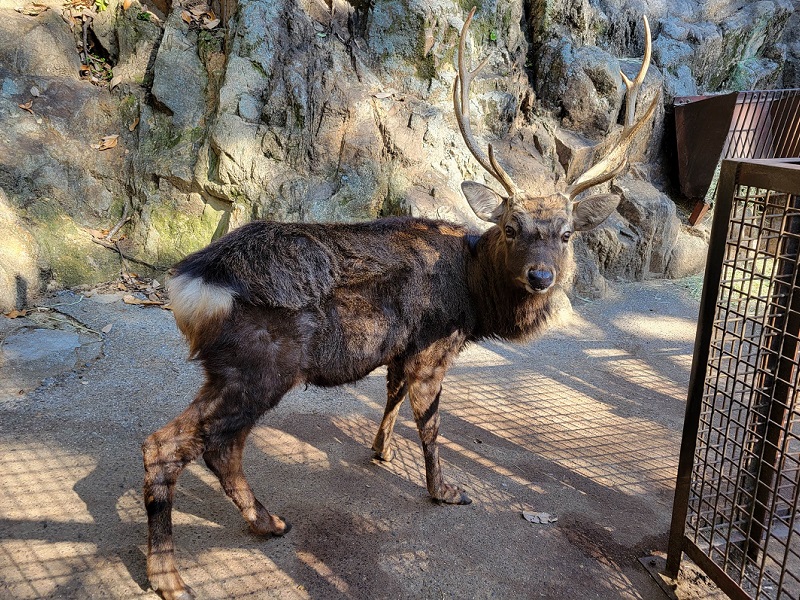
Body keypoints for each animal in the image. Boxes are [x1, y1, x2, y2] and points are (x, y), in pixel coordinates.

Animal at [143, 8, 656, 599]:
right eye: (512, 227)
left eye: (567, 234)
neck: (473, 298)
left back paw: (265, 524)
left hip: (231, 370)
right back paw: (172, 575)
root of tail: (191, 284)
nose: (541, 276)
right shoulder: (434, 345)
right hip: (258, 363)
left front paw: (381, 451)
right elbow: (431, 424)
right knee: (178, 445)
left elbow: (390, 397)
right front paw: (445, 491)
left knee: (217, 447)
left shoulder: (399, 347)